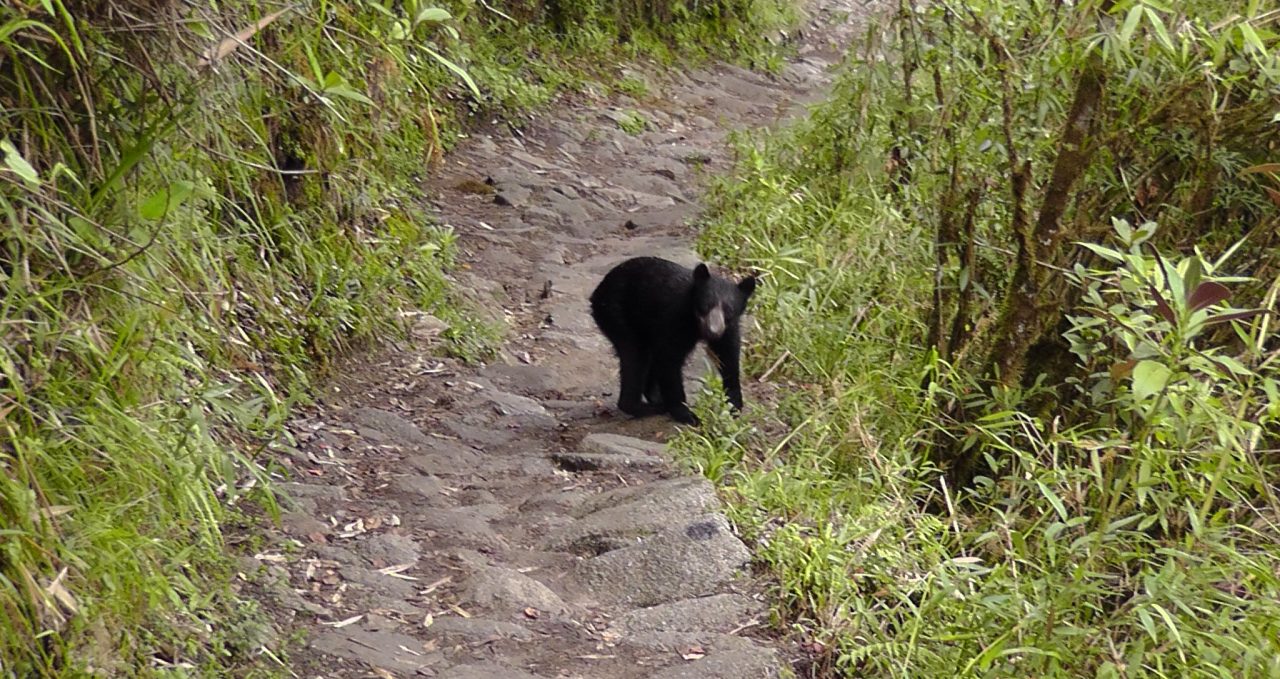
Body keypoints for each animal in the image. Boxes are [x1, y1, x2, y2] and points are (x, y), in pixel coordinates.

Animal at [586, 254, 752, 422]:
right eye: (705, 306)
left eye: (729, 310)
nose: (713, 331)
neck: (695, 322)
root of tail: (597, 292)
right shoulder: (673, 319)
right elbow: (670, 360)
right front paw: (687, 415)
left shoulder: (729, 329)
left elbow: (728, 357)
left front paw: (734, 406)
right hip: (618, 316)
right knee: (636, 356)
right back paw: (647, 406)